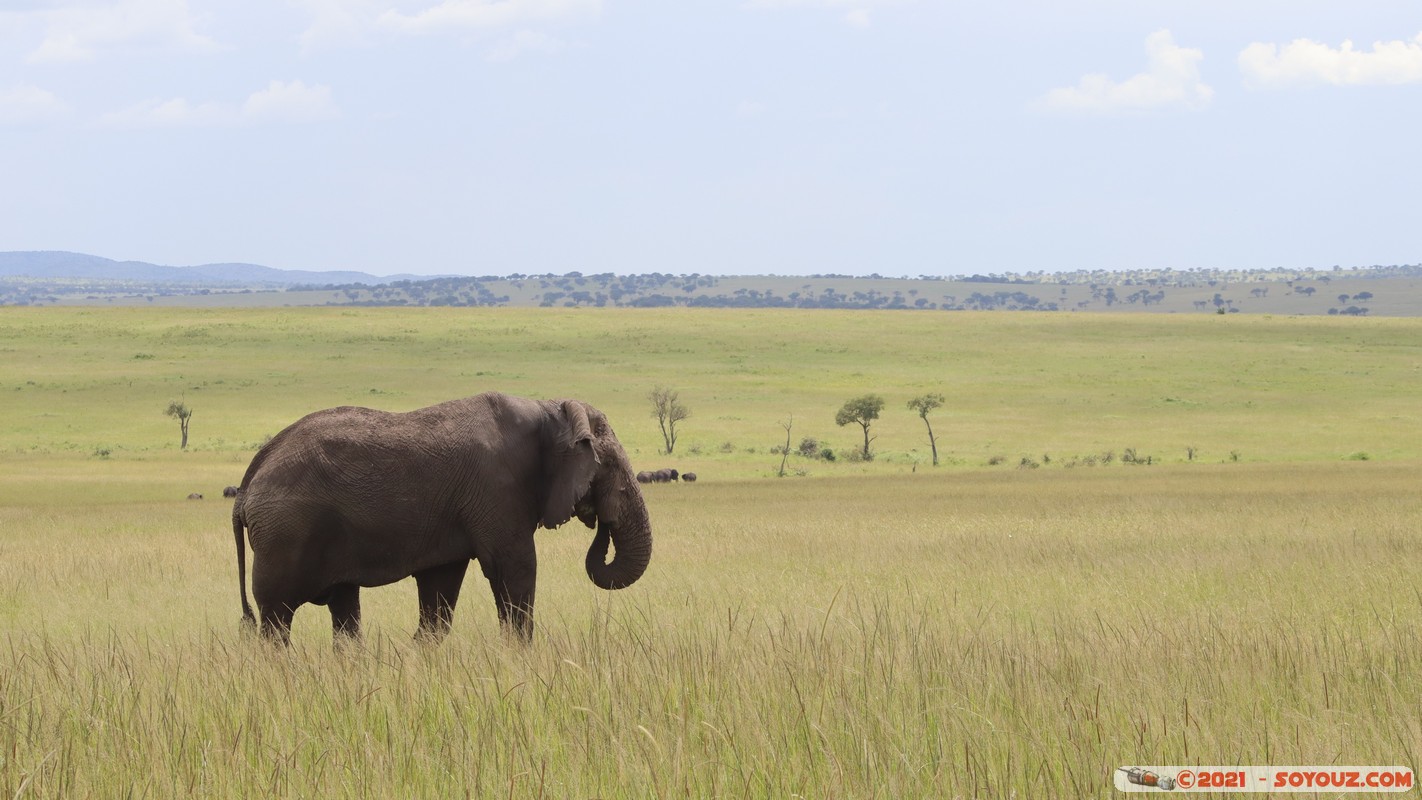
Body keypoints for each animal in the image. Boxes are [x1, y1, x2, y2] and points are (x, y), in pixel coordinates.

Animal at [230, 392, 653, 646]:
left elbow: (440, 585)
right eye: (609, 467)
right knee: (277, 617)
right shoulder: (497, 488)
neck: (548, 410)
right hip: (285, 534)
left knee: (343, 607)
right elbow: (514, 568)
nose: (600, 520)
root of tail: (248, 483)